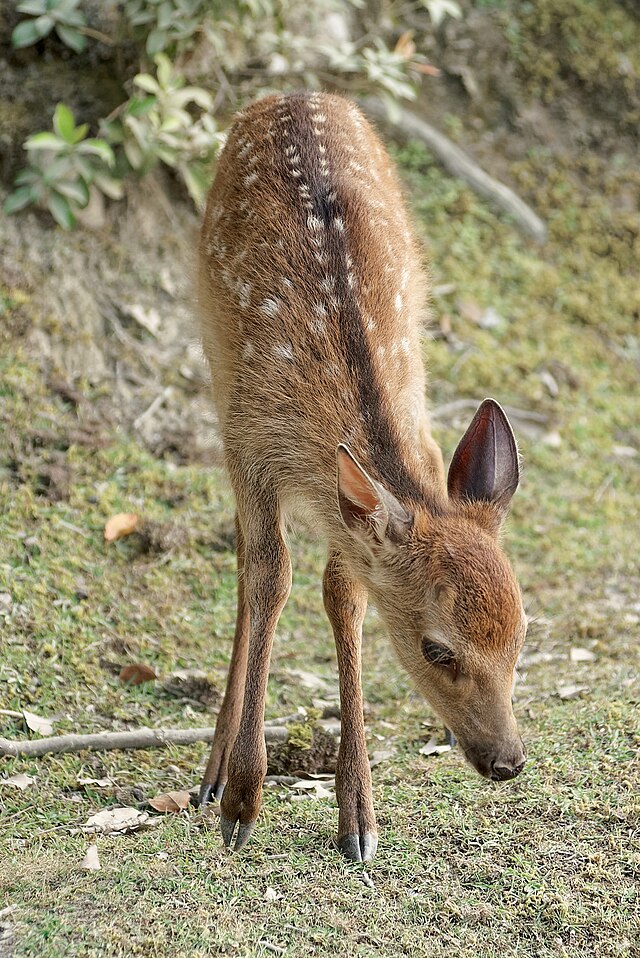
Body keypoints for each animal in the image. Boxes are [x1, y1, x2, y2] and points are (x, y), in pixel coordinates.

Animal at [196, 91, 527, 863]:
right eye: (438, 649)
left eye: (521, 636)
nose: (508, 761)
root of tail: (288, 95)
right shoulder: (250, 446)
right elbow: (270, 578)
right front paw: (244, 801)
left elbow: (343, 595)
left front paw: (358, 815)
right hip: (213, 361)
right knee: (245, 567)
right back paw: (213, 773)